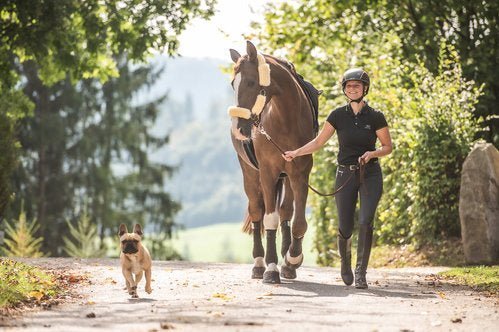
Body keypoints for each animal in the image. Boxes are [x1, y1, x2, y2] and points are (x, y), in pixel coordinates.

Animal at [229, 41, 314, 284]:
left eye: (250, 82)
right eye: (232, 84)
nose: (238, 129)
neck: (285, 119)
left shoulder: (300, 173)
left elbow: (298, 221)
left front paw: (292, 259)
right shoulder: (267, 173)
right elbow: (269, 220)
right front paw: (272, 268)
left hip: (286, 177)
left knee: (285, 211)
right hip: (250, 174)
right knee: (257, 212)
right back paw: (259, 263)